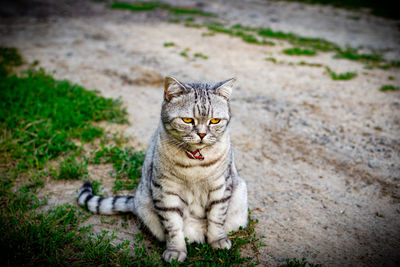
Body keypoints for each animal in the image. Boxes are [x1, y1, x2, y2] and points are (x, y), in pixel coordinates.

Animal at [76, 76, 248, 264]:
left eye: (215, 121)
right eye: (187, 120)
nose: (202, 135)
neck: (194, 163)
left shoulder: (220, 186)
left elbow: (217, 218)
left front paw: (218, 241)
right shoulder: (166, 191)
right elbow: (173, 227)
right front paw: (175, 251)